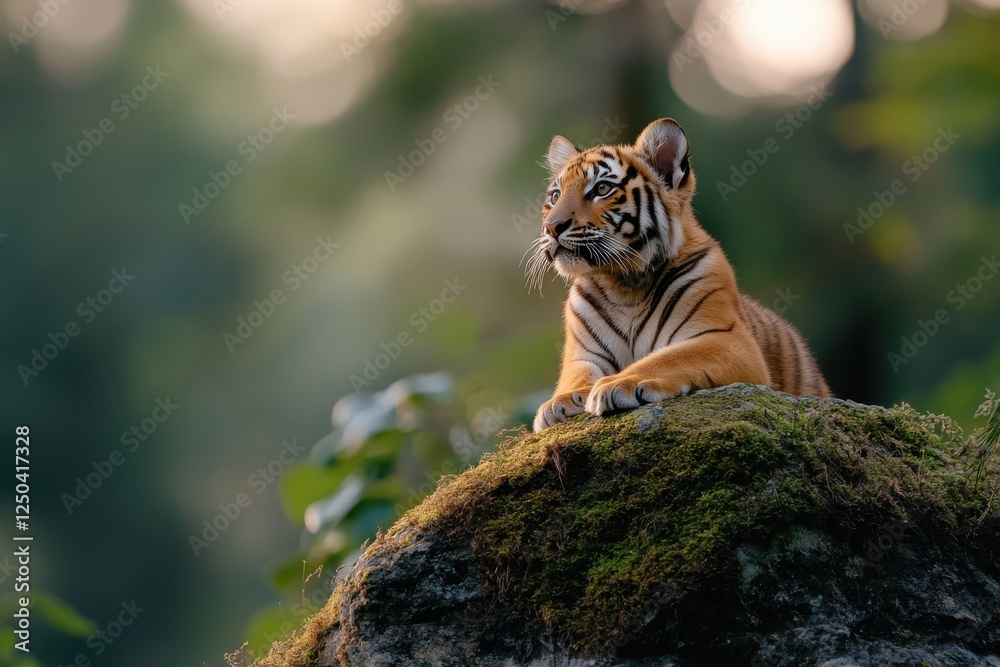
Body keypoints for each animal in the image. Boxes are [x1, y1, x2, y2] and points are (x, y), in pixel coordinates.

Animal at [527, 118, 831, 433]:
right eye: (555, 196)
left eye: (601, 189)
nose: (552, 227)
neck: (624, 284)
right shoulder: (582, 354)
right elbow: (575, 376)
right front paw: (557, 404)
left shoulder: (727, 340)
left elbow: (668, 358)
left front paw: (616, 383)